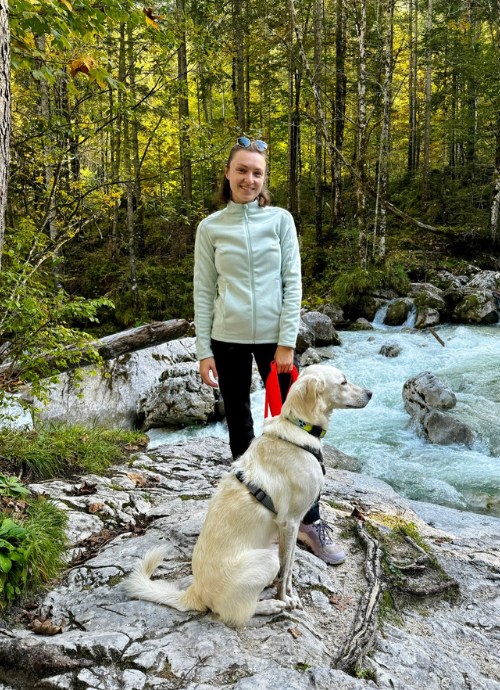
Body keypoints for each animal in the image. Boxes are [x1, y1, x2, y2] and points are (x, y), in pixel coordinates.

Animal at [122, 368, 372, 628]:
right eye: (343, 382)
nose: (370, 393)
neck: (297, 431)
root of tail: (196, 592)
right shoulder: (289, 522)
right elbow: (285, 571)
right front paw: (286, 598)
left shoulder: (292, 526)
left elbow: (290, 567)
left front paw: (289, 593)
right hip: (267, 560)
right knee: (236, 612)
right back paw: (269, 605)